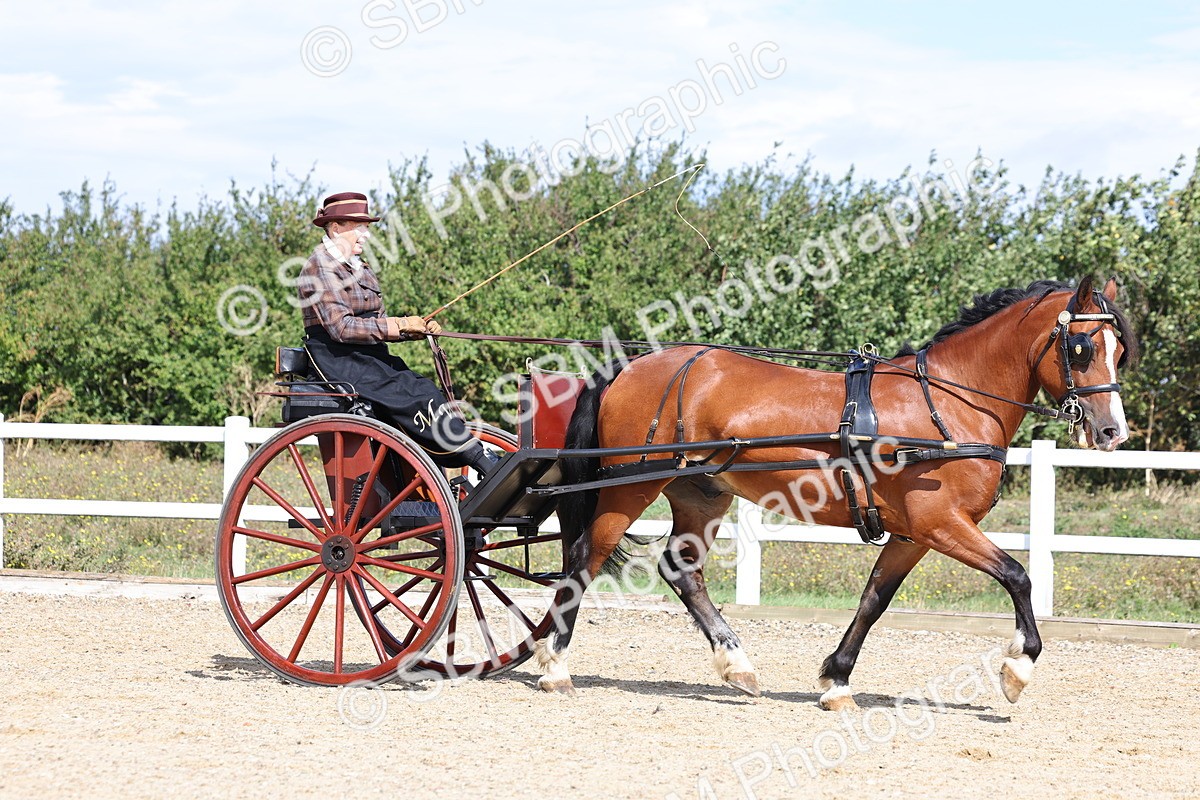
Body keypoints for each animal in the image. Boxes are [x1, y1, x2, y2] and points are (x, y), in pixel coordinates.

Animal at [533, 276, 1138, 709]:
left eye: (1119, 351)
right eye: (1081, 347)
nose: (1113, 432)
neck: (948, 404)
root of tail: (630, 365)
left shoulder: (913, 534)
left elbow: (874, 600)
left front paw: (837, 680)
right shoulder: (941, 523)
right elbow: (1018, 575)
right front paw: (1019, 666)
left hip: (701, 494)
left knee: (682, 570)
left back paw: (738, 665)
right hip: (630, 488)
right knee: (585, 558)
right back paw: (553, 663)